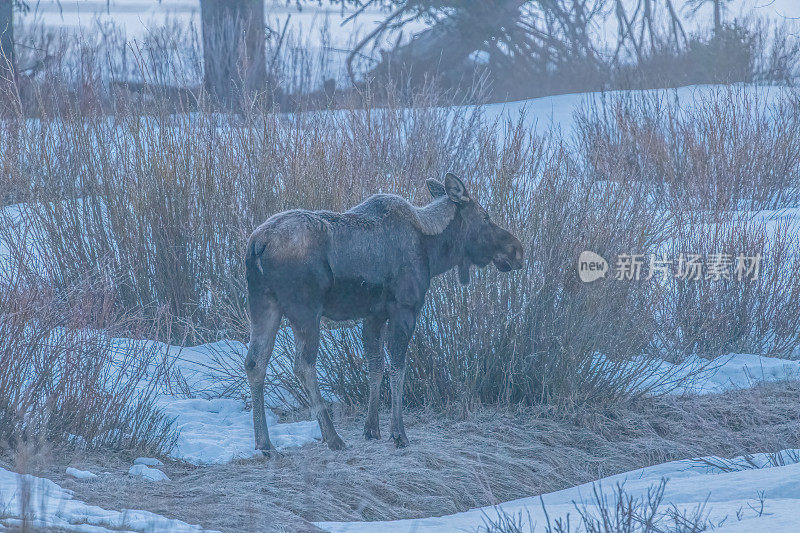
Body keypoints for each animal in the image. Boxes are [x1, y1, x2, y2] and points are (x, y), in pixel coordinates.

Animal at [247, 172, 528, 450]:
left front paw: (372, 428)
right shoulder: (405, 309)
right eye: (485, 217)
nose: (517, 250)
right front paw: (398, 433)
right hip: (305, 310)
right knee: (303, 365)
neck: (433, 251)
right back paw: (333, 437)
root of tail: (258, 243)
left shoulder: (374, 315)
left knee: (255, 363)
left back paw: (265, 444)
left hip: (264, 305)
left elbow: (375, 367)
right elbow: (397, 368)